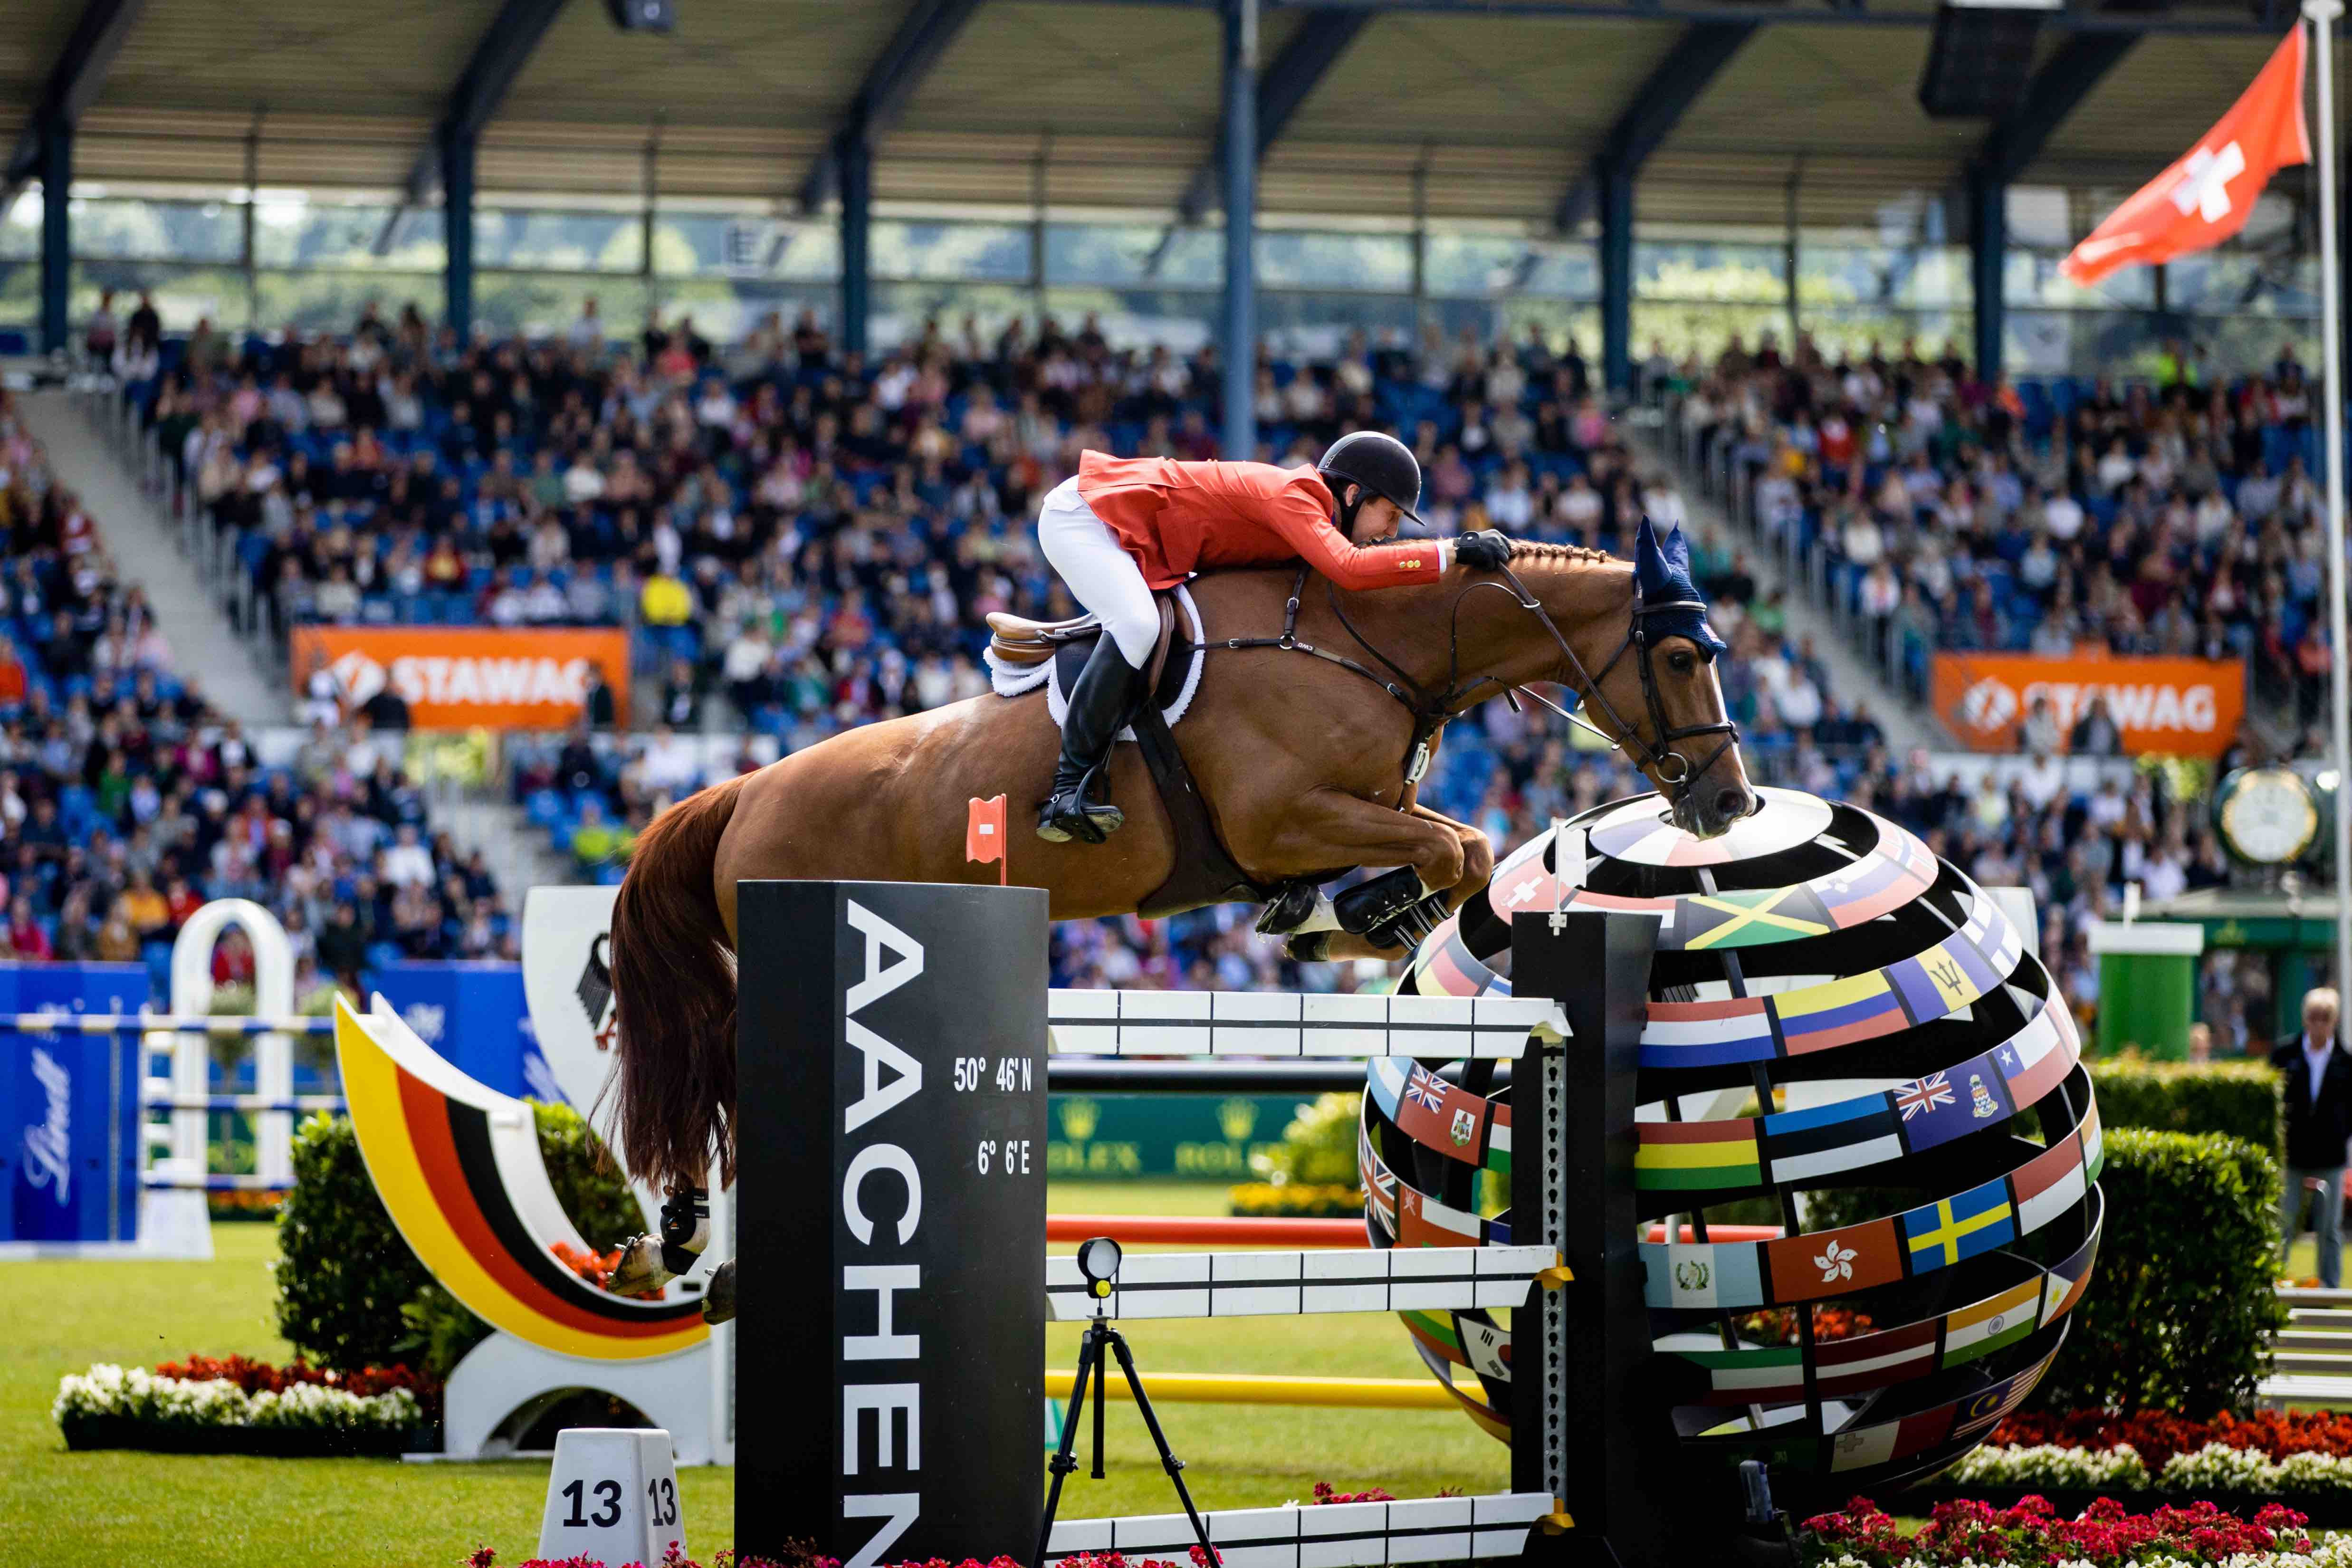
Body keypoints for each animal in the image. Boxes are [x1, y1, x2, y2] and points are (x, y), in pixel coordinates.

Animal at [607, 524, 1755, 1197]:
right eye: (1680, 656)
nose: (1729, 801)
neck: (1366, 643)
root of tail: (742, 792)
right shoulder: (1284, 818)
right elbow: (1458, 848)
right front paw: (1363, 916)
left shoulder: (1359, 810)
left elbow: (1448, 846)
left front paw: (1342, 919)